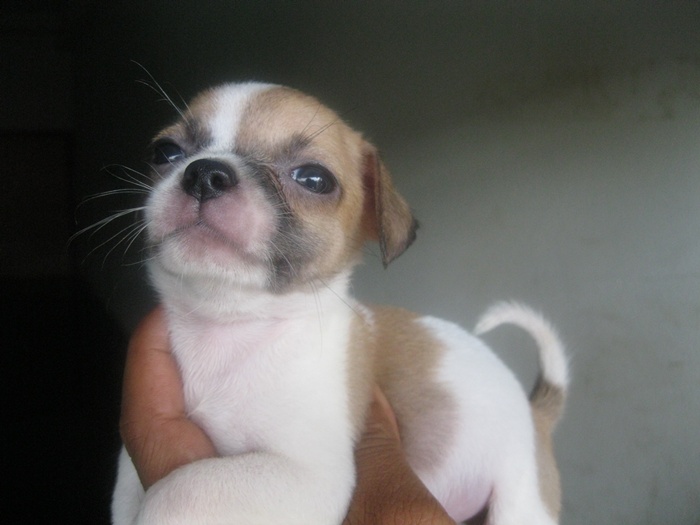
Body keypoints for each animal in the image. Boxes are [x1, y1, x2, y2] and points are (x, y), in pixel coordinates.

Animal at [111, 82, 569, 524]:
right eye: (164, 152)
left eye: (314, 179)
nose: (206, 172)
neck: (229, 325)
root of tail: (536, 414)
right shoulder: (131, 474)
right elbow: (129, 497)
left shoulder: (308, 477)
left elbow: (180, 489)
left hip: (520, 503)